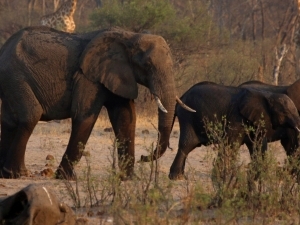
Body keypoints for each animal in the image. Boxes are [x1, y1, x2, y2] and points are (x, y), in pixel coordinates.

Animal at [0, 25, 188, 179]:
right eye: (147, 65)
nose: (144, 157)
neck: (130, 36)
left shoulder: (118, 74)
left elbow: (126, 118)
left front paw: (128, 179)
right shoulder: (88, 77)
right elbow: (84, 116)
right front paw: (66, 178)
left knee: (9, 121)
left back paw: (6, 174)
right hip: (15, 76)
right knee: (30, 115)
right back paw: (17, 174)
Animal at [166, 81, 300, 180]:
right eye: (285, 112)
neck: (267, 96)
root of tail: (181, 96)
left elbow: (257, 145)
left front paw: (257, 176)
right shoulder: (237, 117)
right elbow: (231, 144)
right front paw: (222, 177)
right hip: (188, 116)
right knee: (187, 145)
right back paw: (177, 178)